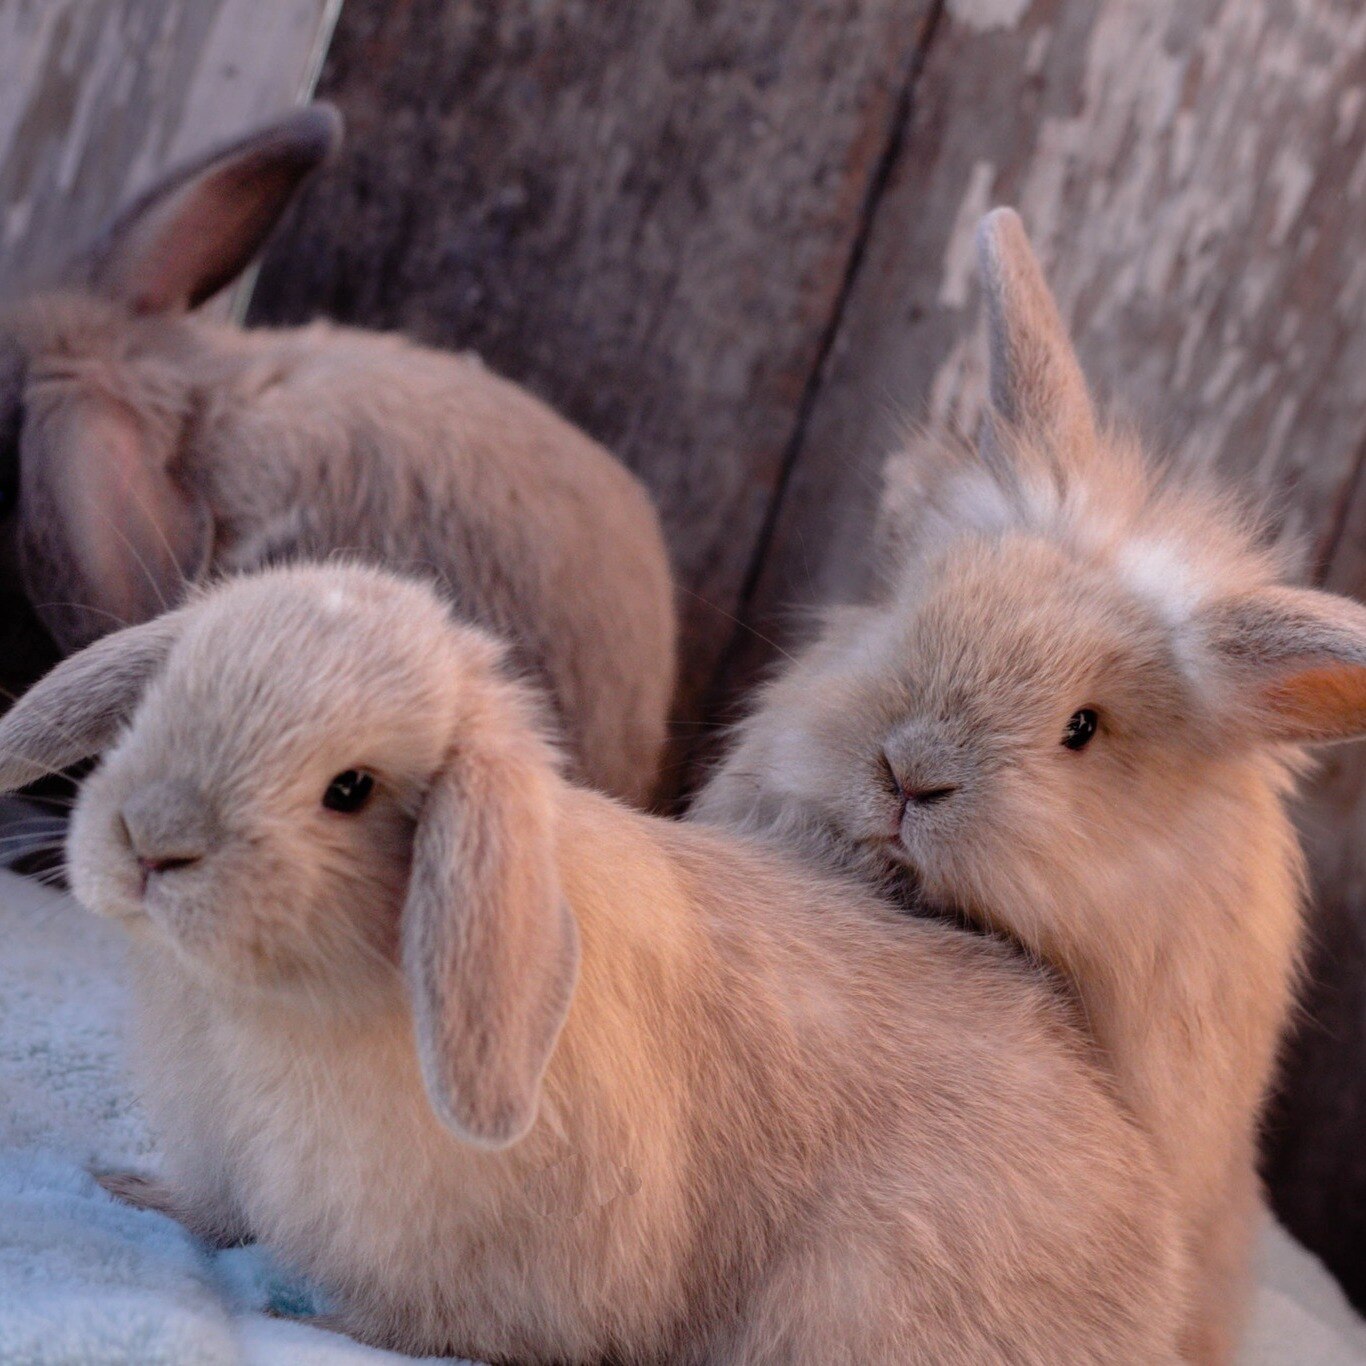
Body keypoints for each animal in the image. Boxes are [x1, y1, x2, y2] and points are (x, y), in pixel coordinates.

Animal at [0, 560, 1185, 1360]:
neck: (263, 1006)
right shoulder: (223, 1150)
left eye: (350, 789)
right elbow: (207, 1209)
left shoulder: (486, 1274)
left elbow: (412, 1327)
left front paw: (303, 1314)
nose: (149, 842)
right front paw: (125, 1186)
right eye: (166, 693)